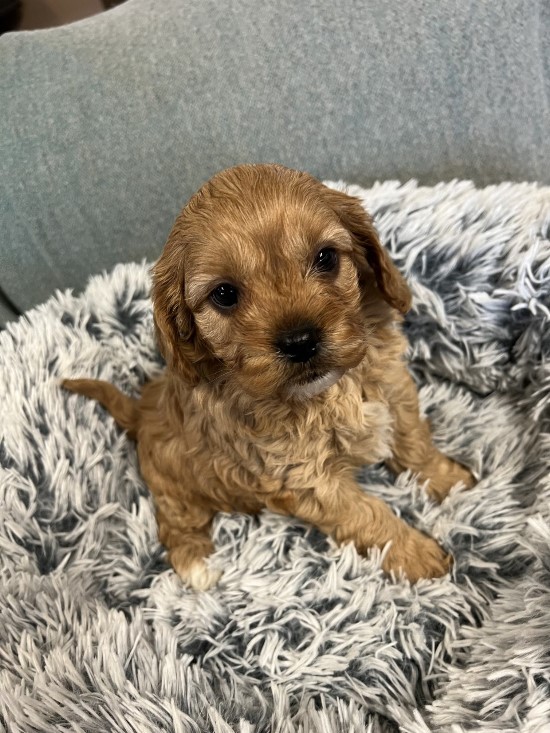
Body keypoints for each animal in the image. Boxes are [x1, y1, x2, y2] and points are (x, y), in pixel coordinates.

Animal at [64, 163, 476, 588]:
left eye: (326, 258)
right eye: (224, 294)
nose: (299, 341)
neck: (330, 392)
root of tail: (140, 412)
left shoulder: (395, 391)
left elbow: (415, 443)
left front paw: (450, 480)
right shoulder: (306, 479)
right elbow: (368, 516)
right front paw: (417, 555)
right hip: (174, 489)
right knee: (175, 525)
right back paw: (197, 565)